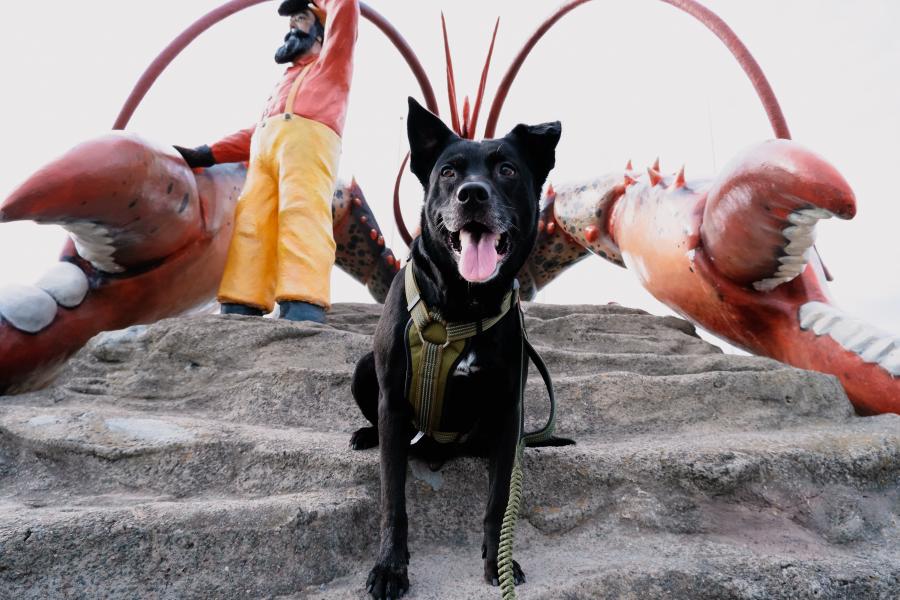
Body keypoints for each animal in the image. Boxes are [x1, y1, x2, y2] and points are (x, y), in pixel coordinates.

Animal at [352, 96, 564, 596]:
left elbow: (499, 502)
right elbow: (393, 502)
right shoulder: (393, 405)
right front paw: (390, 568)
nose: (473, 194)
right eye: (448, 172)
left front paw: (498, 563)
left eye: (507, 169)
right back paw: (366, 435)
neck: (461, 305)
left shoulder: (508, 412)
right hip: (363, 370)